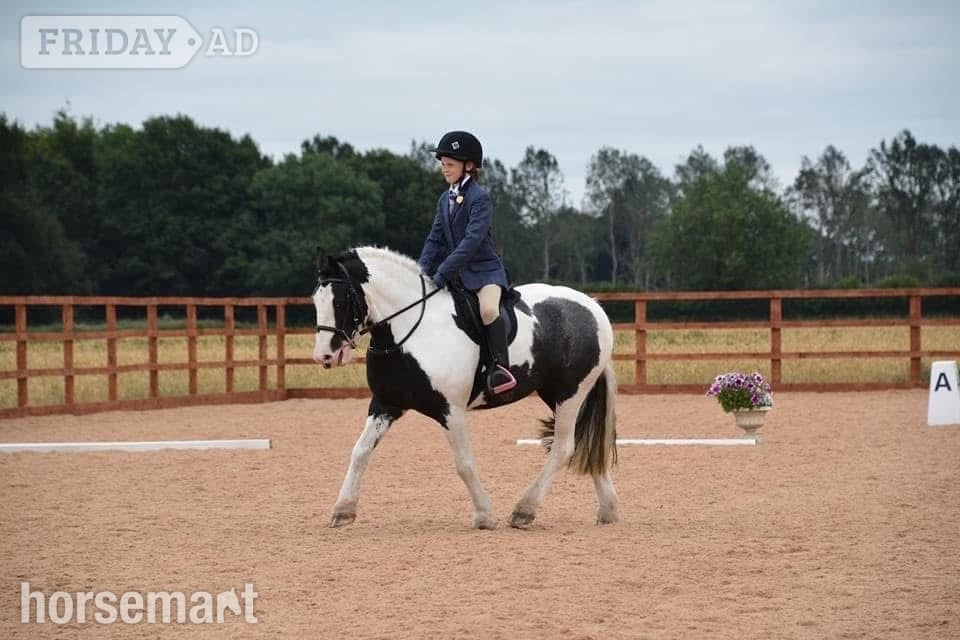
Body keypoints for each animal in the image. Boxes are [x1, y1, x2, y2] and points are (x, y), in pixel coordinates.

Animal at [313, 246, 619, 529]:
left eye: (341, 301)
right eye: (316, 300)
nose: (324, 357)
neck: (408, 333)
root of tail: (592, 306)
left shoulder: (451, 410)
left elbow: (464, 463)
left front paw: (483, 515)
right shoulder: (386, 404)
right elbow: (360, 451)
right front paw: (343, 510)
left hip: (571, 392)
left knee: (563, 447)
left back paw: (524, 510)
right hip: (552, 392)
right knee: (582, 441)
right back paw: (608, 509)